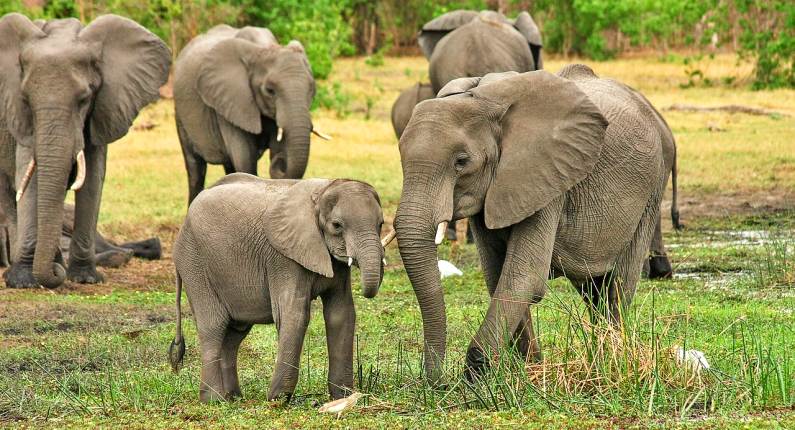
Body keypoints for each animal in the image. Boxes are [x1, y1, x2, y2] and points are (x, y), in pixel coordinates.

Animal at [0, 14, 173, 288]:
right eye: (26, 100)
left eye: (84, 99)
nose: (55, 275)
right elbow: (29, 179)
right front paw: (23, 282)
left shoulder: (102, 109)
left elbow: (92, 180)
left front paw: (85, 278)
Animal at [169, 174, 390, 404]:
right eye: (337, 225)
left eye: (380, 224)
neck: (321, 192)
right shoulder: (283, 258)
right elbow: (294, 314)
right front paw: (278, 399)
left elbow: (341, 314)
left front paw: (343, 397)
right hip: (194, 263)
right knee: (213, 326)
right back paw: (214, 400)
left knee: (234, 334)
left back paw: (233, 398)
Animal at [176, 25, 332, 205]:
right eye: (270, 91)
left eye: (312, 89)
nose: (280, 161)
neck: (263, 48)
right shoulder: (231, 101)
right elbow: (244, 158)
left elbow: (275, 147)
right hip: (180, 115)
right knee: (195, 169)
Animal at [392, 65, 672, 382]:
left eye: (461, 162)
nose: (437, 382)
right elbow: (498, 275)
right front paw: (528, 370)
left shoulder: (548, 177)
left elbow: (524, 277)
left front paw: (477, 375)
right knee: (593, 289)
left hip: (651, 191)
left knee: (618, 285)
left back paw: (611, 361)